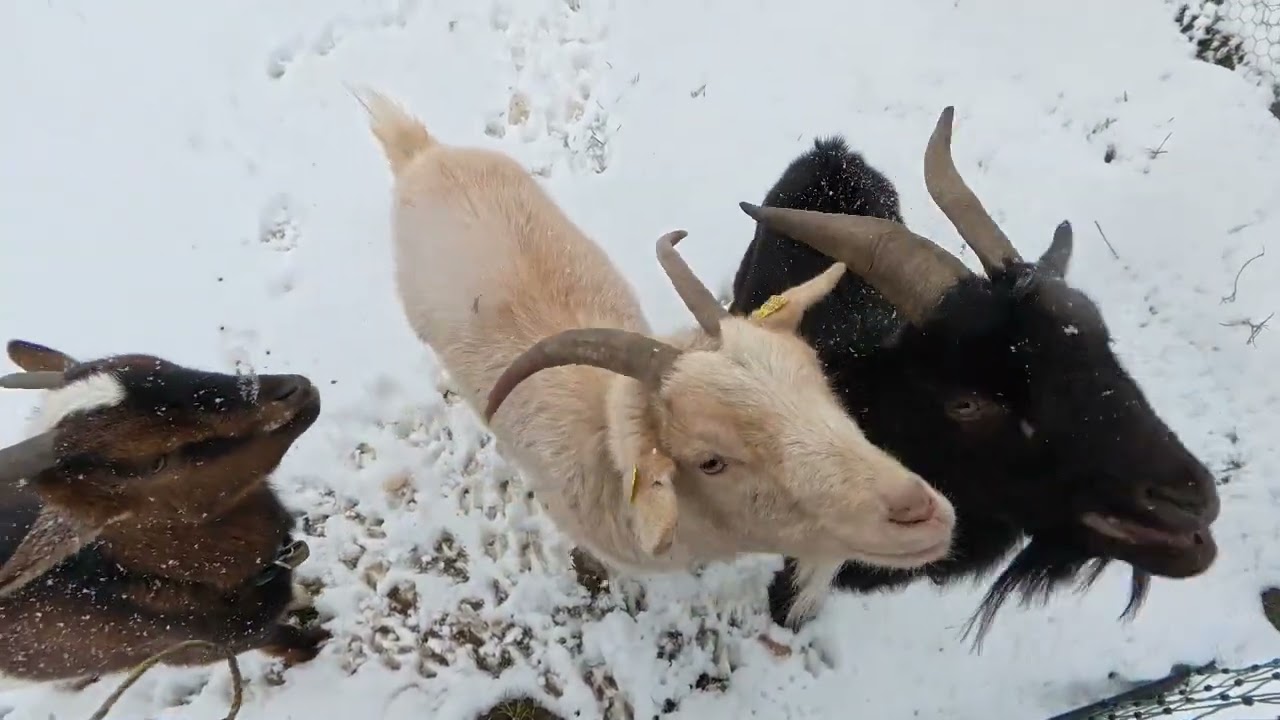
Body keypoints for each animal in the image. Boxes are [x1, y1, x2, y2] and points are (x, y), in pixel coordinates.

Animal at [0, 339, 330, 681]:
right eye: (156, 462)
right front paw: (319, 642)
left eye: (162, 364)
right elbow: (293, 643)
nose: (293, 390)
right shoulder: (225, 644)